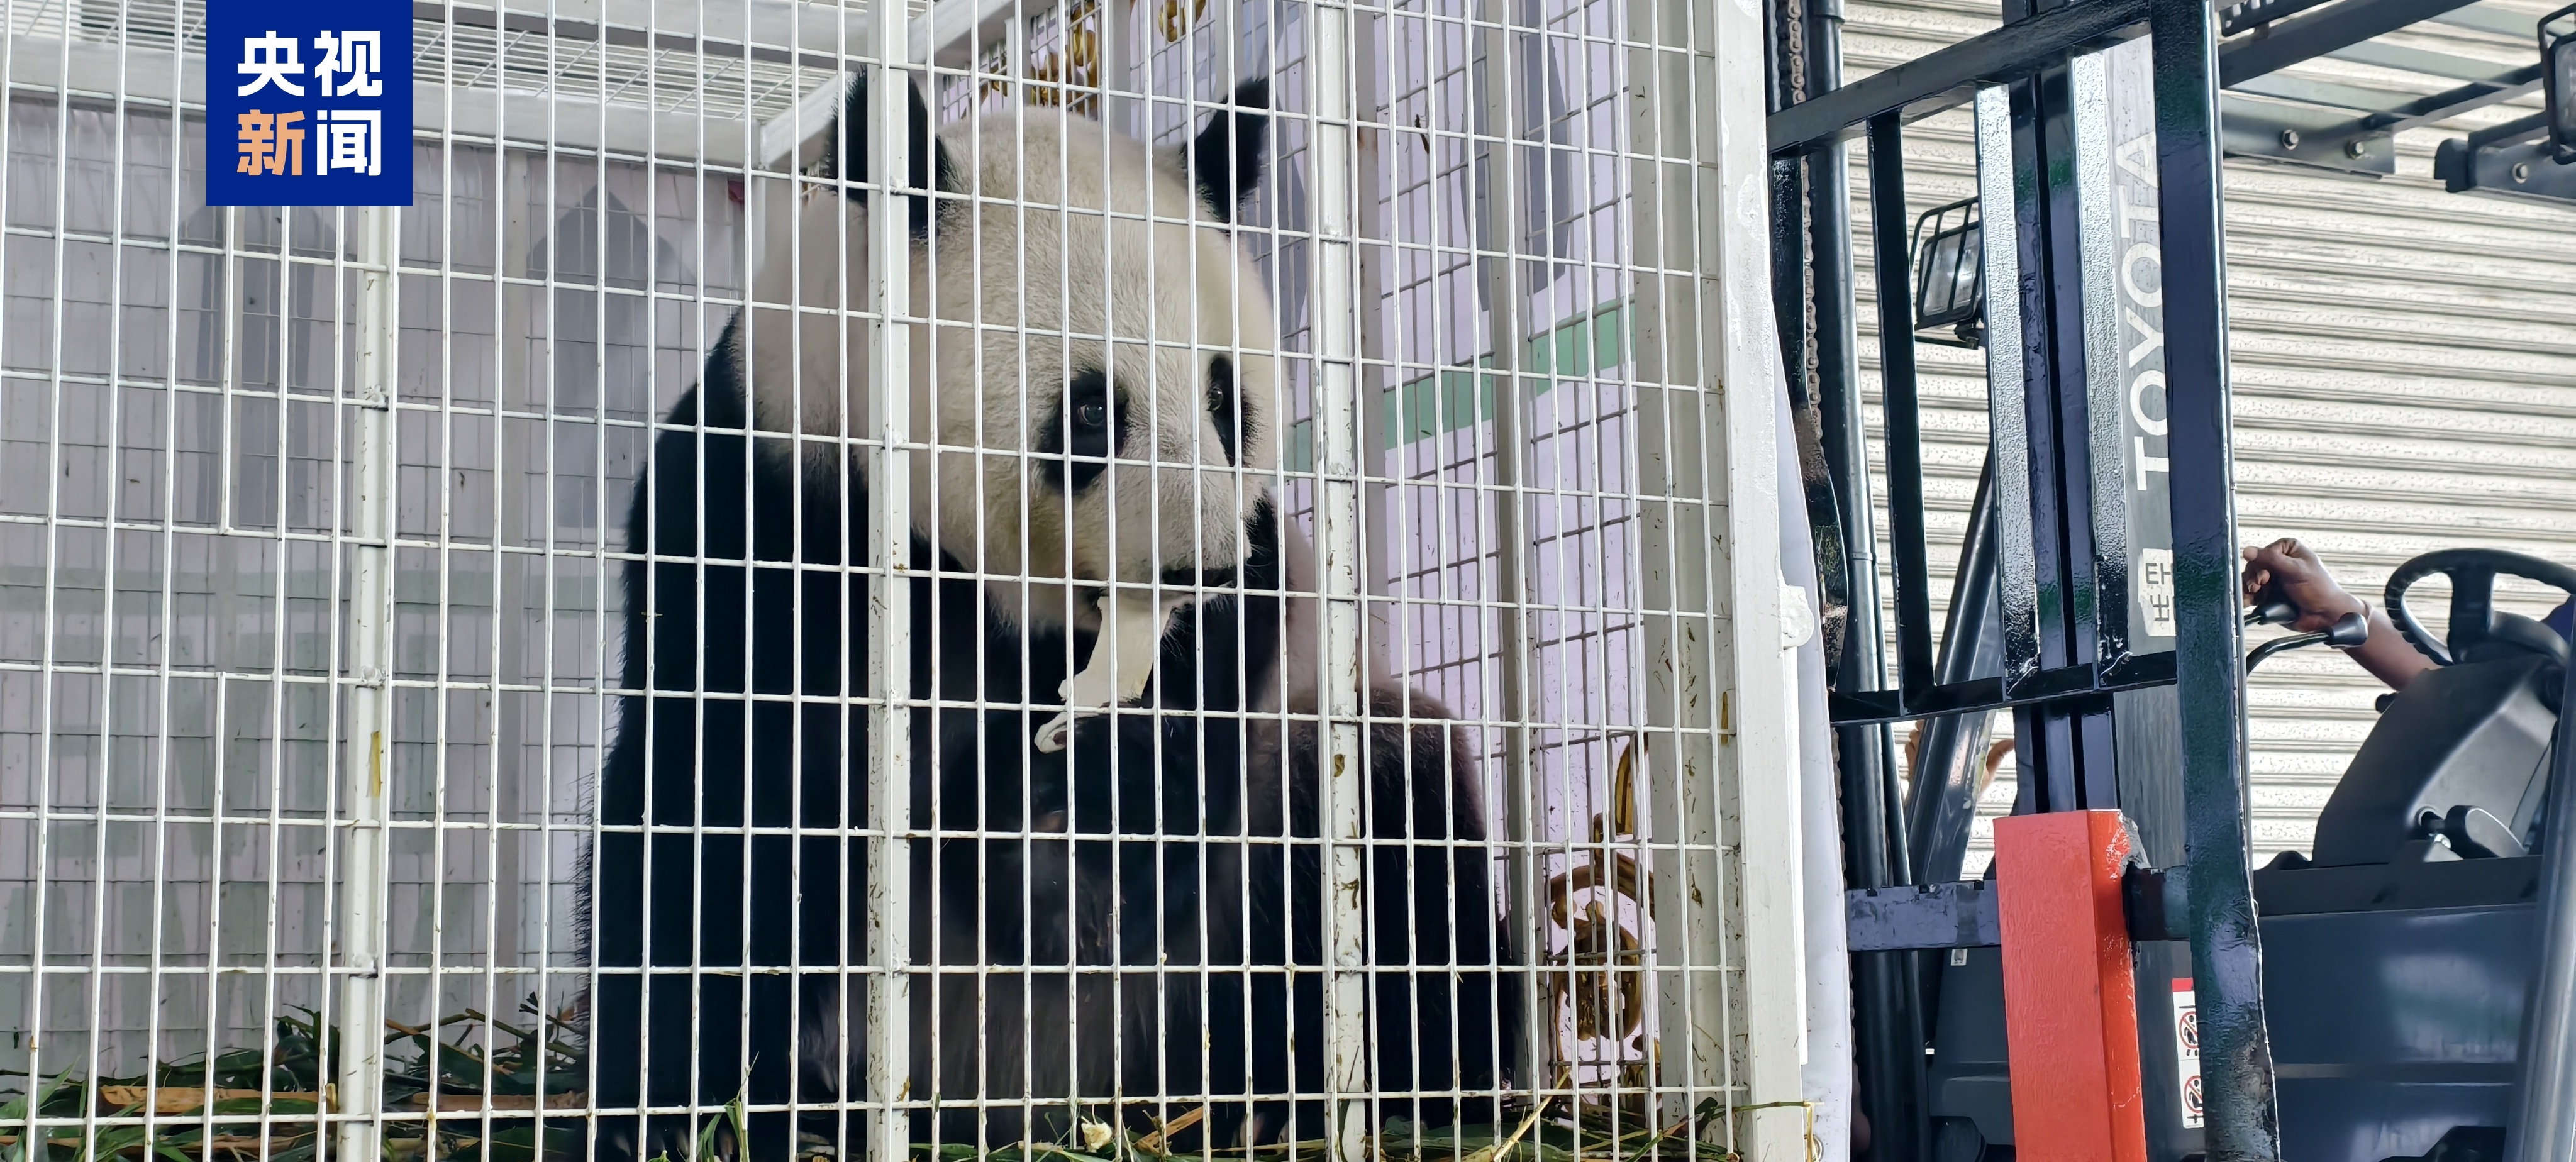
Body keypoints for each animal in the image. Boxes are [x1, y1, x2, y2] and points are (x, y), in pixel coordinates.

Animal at [584, 67, 1517, 1162]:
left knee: (1401, 800)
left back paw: (1420, 1089)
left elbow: (1199, 752)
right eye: (1090, 410)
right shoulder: (765, 504)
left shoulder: (1253, 607)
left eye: (1224, 396)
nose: (1200, 564)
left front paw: (1106, 806)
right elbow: (742, 790)